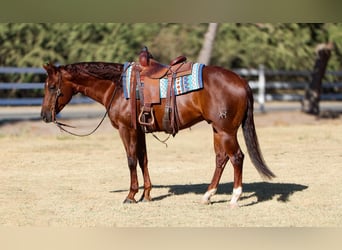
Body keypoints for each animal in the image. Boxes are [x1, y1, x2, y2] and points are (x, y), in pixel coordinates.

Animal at [40, 60, 276, 207]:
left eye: (51, 87)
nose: (44, 115)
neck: (117, 87)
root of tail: (242, 81)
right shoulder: (139, 131)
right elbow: (143, 160)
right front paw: (147, 194)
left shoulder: (127, 130)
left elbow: (131, 160)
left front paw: (131, 195)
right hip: (217, 130)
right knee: (221, 159)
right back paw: (207, 196)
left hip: (226, 131)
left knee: (237, 157)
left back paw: (234, 198)